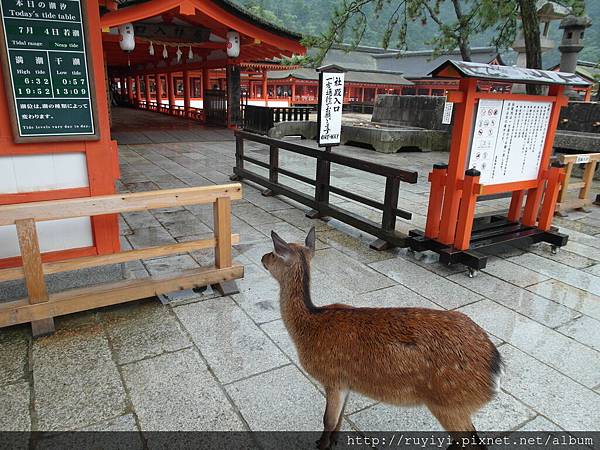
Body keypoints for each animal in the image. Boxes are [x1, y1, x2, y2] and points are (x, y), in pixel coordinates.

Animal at [262, 229, 502, 450]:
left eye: (273, 253)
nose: (263, 258)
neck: (309, 326)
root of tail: (497, 367)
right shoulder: (346, 382)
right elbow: (339, 420)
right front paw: (333, 442)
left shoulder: (332, 378)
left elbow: (328, 420)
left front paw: (321, 444)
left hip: (450, 404)